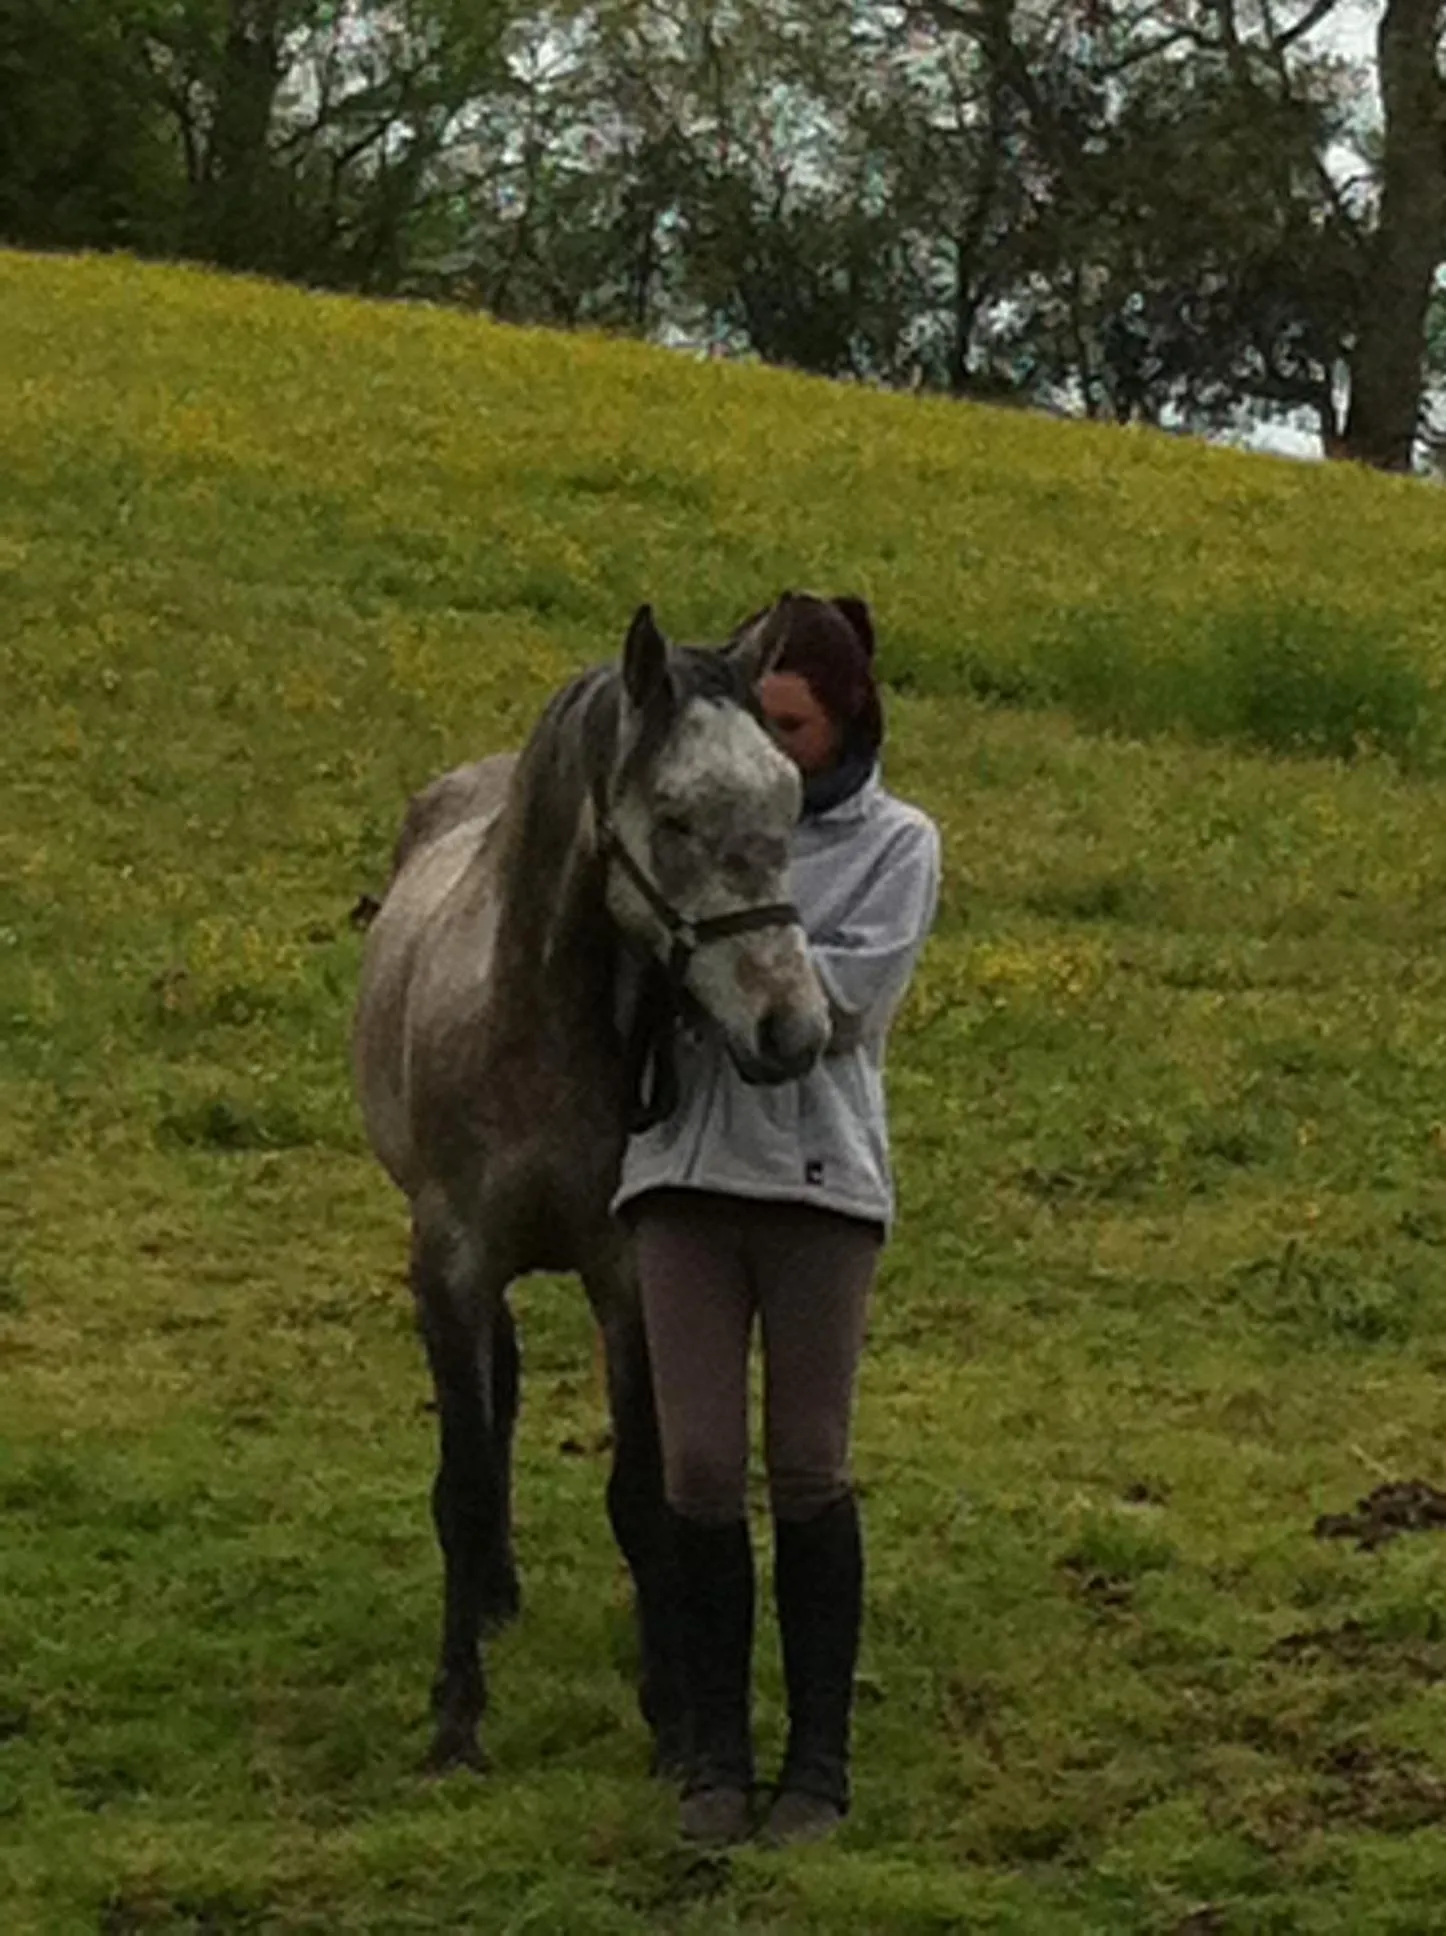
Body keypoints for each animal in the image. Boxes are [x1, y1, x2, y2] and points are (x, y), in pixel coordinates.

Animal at [352, 598, 832, 1773]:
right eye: (674, 816)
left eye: (792, 801)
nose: (792, 1032)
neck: (533, 1033)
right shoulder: (451, 1264)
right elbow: (462, 1483)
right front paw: (456, 1719)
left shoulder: (626, 1274)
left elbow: (640, 1493)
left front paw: (671, 1713)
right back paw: (490, 1595)